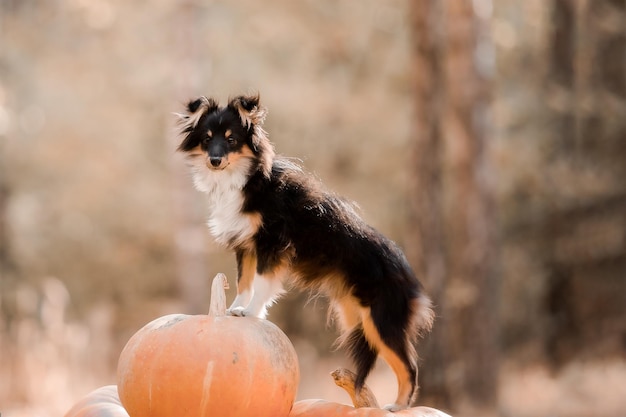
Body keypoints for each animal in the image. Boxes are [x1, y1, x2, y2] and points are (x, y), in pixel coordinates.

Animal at [173, 94, 432, 410]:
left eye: (232, 139)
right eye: (207, 139)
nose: (215, 160)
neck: (245, 178)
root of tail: (411, 279)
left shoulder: (271, 242)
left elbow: (262, 282)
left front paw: (251, 313)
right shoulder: (246, 244)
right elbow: (243, 281)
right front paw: (234, 309)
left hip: (381, 320)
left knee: (410, 366)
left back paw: (397, 408)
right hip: (361, 321)